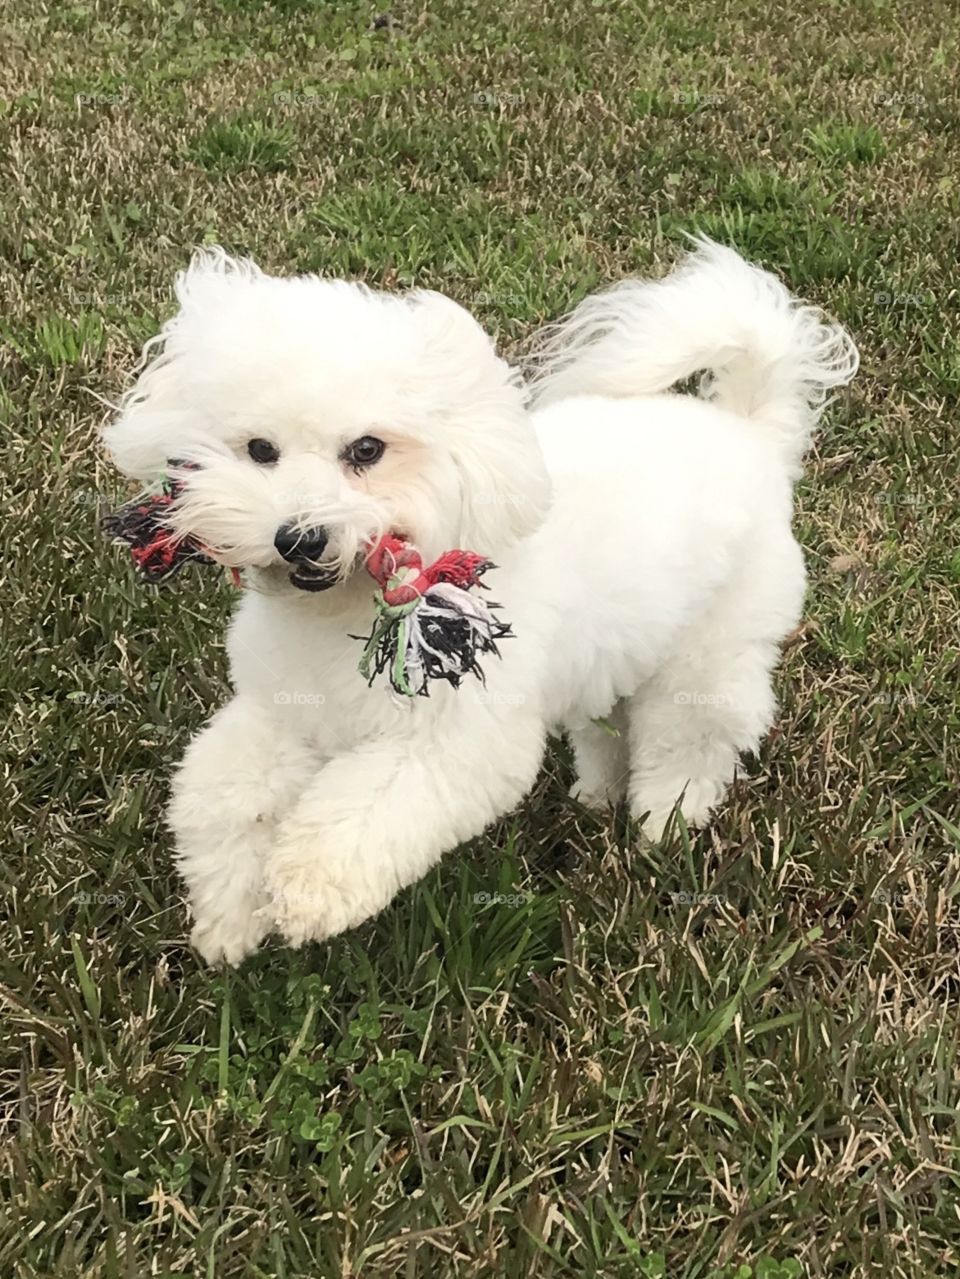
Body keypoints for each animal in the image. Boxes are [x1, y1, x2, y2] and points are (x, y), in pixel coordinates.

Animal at [103, 240, 853, 961]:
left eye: (367, 449)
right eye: (260, 450)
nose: (300, 538)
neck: (344, 615)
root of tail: (750, 430)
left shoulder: (450, 739)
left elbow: (363, 814)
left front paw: (308, 890)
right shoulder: (281, 715)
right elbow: (223, 799)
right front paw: (228, 918)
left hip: (709, 651)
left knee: (693, 737)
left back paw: (665, 818)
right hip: (615, 649)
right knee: (608, 722)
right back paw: (597, 792)